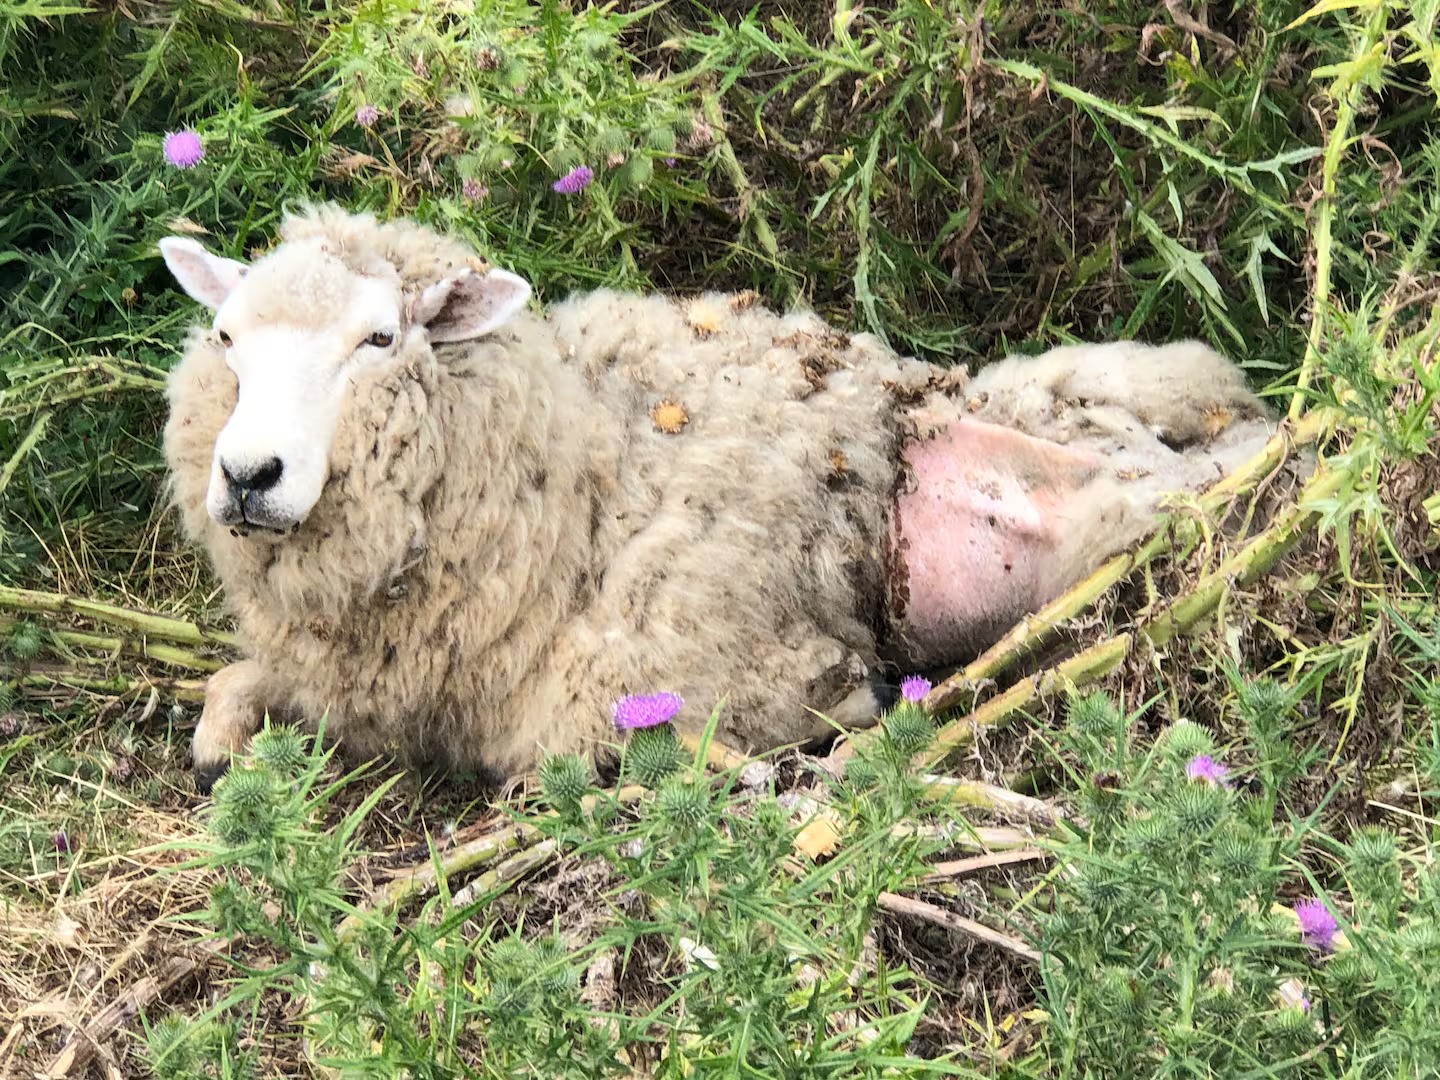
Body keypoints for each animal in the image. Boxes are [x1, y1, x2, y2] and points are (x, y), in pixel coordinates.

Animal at [159, 203, 1280, 792]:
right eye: (226, 337)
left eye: (380, 338)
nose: (247, 476)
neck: (583, 470)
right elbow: (229, 691)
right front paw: (223, 751)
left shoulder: (653, 674)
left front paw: (824, 726)